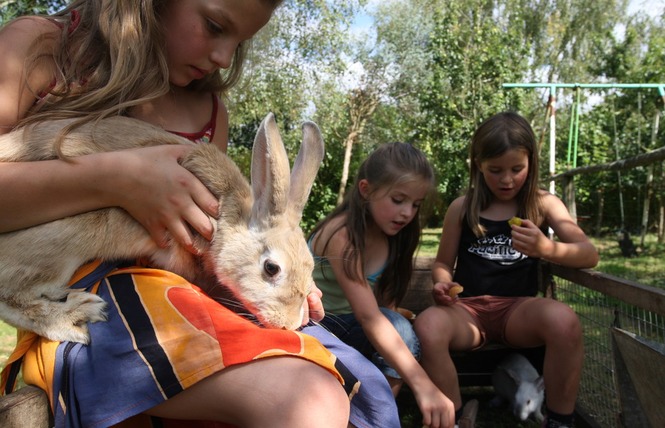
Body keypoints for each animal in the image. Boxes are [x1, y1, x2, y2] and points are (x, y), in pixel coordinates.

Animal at [0, 113, 322, 344]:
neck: (225, 218)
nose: (288, 325)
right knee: (10, 296)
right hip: (63, 240)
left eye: (310, 268)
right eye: (271, 268)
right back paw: (77, 314)